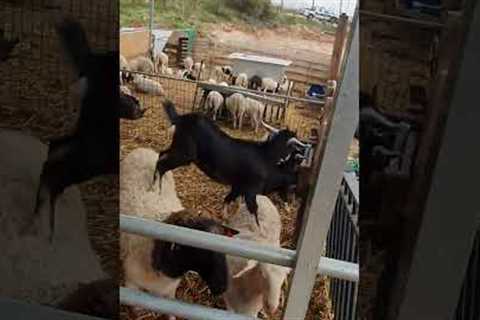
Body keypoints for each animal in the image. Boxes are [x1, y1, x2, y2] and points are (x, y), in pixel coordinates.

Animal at [152, 100, 306, 225]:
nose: (290, 204)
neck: (265, 155)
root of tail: (179, 118)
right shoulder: (251, 190)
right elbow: (253, 211)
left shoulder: (238, 186)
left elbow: (229, 199)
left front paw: (226, 217)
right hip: (184, 154)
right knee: (162, 165)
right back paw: (158, 191)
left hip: (176, 147)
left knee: (161, 155)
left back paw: (154, 185)